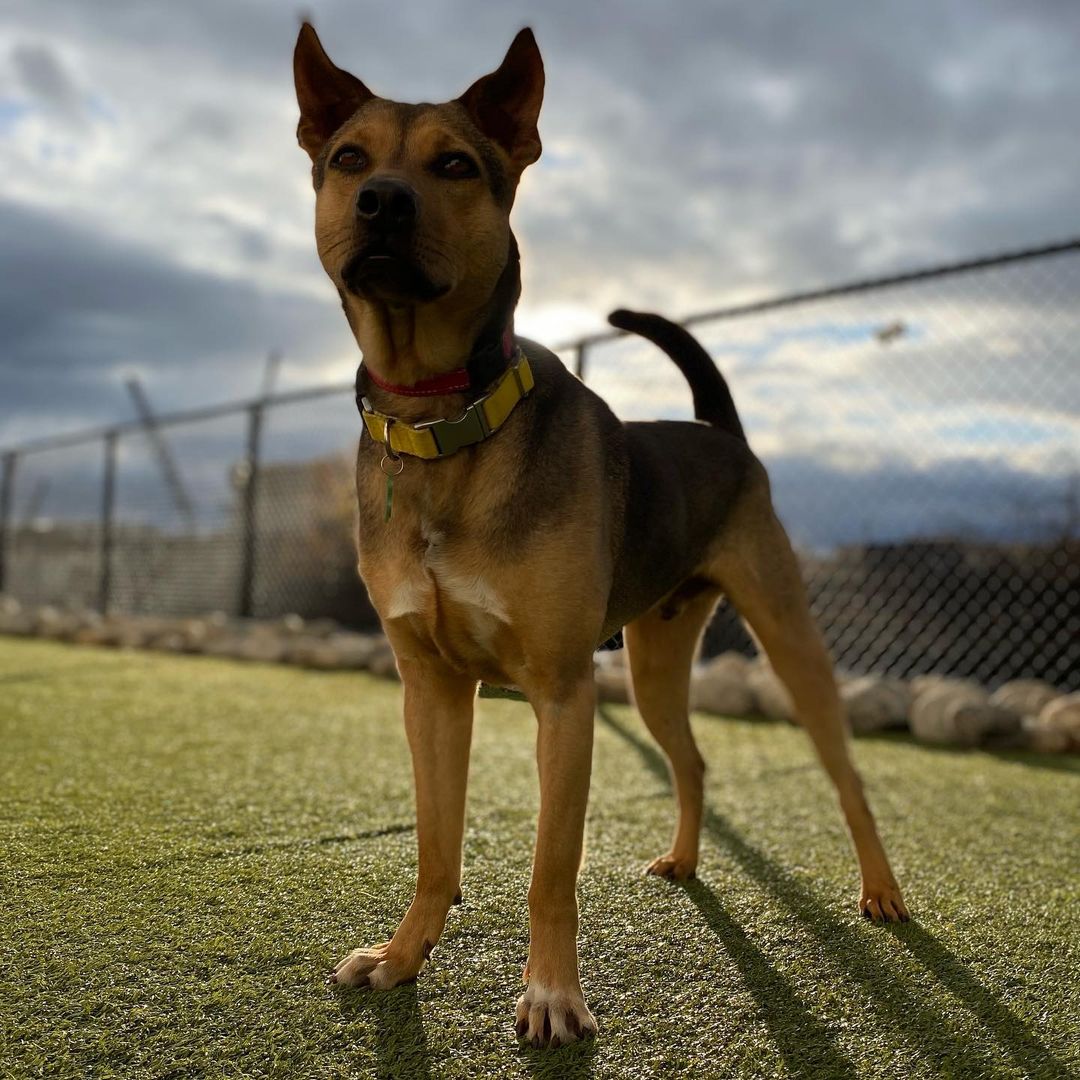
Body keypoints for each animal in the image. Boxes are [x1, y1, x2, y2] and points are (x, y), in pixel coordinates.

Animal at [291, 25, 907, 1049]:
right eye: (348, 159)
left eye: (455, 166)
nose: (382, 201)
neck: (444, 423)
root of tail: (723, 435)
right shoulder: (431, 690)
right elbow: (434, 847)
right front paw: (403, 956)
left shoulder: (563, 692)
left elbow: (551, 870)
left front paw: (551, 996)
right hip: (656, 659)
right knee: (691, 757)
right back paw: (687, 862)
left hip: (789, 641)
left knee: (847, 775)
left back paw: (884, 891)